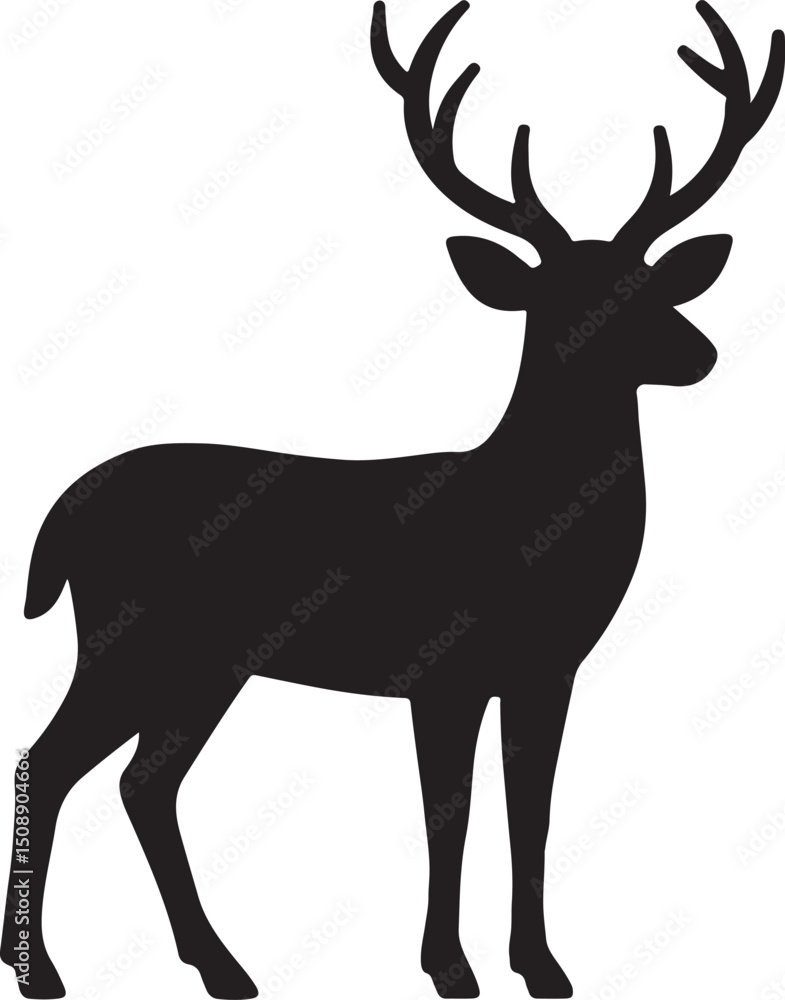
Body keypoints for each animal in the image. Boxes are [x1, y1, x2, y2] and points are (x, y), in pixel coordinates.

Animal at [3, 2, 783, 998]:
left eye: (647, 284)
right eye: (563, 300)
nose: (699, 353)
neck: (526, 523)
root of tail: (57, 516)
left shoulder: (547, 670)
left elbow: (531, 811)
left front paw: (542, 967)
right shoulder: (439, 666)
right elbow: (446, 813)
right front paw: (450, 967)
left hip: (203, 664)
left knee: (143, 781)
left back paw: (217, 965)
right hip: (130, 636)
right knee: (53, 757)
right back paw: (44, 970)